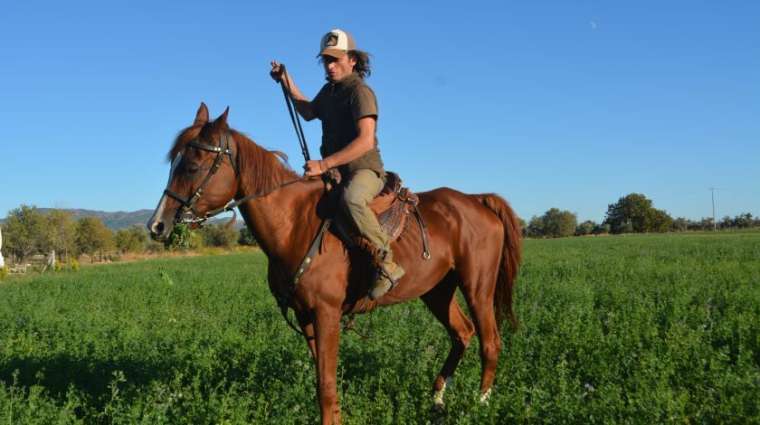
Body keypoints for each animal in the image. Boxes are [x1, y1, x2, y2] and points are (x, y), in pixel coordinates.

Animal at [145, 103, 520, 424]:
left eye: (192, 165)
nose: (157, 225)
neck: (294, 223)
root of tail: (476, 201)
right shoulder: (305, 316)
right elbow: (321, 383)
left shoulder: (326, 314)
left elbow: (326, 384)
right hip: (438, 290)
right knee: (462, 333)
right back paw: (437, 399)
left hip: (477, 287)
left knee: (490, 341)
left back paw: (480, 404)